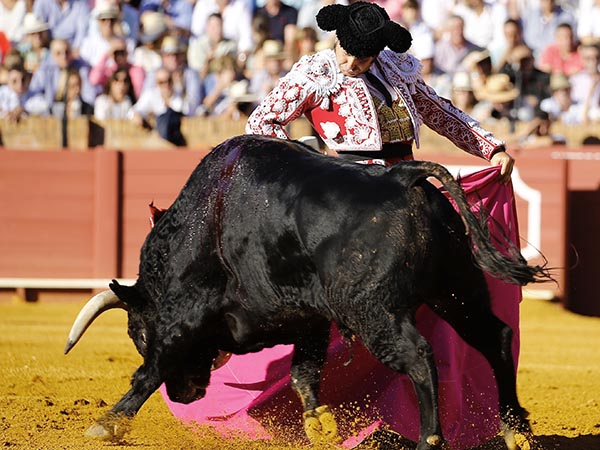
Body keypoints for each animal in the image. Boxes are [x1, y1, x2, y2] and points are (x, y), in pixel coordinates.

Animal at [65, 134, 552, 450]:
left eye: (137, 333)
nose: (188, 395)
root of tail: (402, 178)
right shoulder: (309, 318)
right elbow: (304, 372)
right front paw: (320, 425)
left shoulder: (185, 313)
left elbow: (150, 370)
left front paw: (107, 424)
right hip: (456, 290)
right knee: (496, 338)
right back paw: (516, 431)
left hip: (374, 310)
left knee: (417, 356)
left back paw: (431, 440)